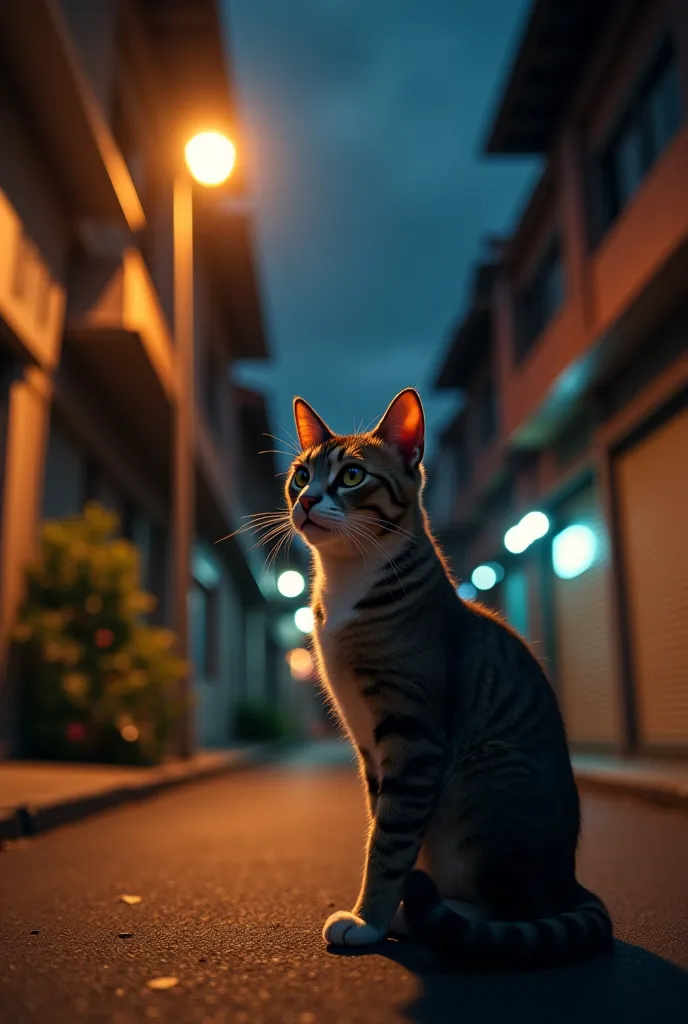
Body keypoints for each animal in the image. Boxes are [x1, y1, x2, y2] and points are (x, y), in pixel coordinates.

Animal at [282, 385, 614, 966]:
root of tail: (570, 882)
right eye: (301, 475)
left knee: (515, 911)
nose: (306, 499)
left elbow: (389, 842)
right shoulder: (371, 749)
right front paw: (380, 912)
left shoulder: (413, 737)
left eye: (352, 476)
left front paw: (367, 922)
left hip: (490, 778)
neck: (347, 582)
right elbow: (384, 826)